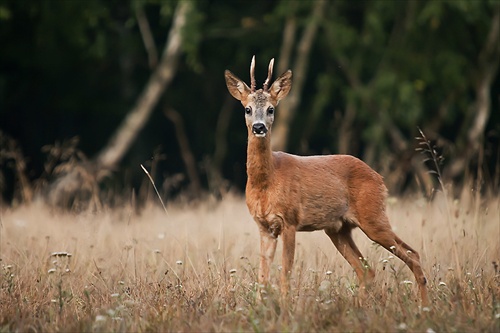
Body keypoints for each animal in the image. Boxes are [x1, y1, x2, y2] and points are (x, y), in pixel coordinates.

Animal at [225, 56, 428, 304]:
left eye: (271, 108)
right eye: (248, 109)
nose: (259, 127)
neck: (266, 182)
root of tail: (379, 177)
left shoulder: (290, 220)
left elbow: (285, 274)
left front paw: (285, 308)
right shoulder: (264, 227)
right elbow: (263, 279)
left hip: (373, 217)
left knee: (413, 254)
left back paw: (424, 307)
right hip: (338, 228)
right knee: (366, 270)